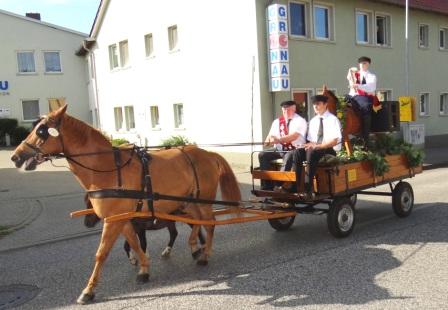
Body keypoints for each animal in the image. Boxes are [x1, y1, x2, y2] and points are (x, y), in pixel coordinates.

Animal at [10, 105, 242, 304]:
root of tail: (208, 153)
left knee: (209, 224)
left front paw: (89, 290)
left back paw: (205, 255)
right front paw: (144, 269)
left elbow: (101, 253)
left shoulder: (112, 221)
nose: (15, 157)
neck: (107, 168)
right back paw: (195, 246)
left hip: (203, 201)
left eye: (41, 131)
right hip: (189, 202)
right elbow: (134, 244)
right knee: (198, 222)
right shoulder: (122, 219)